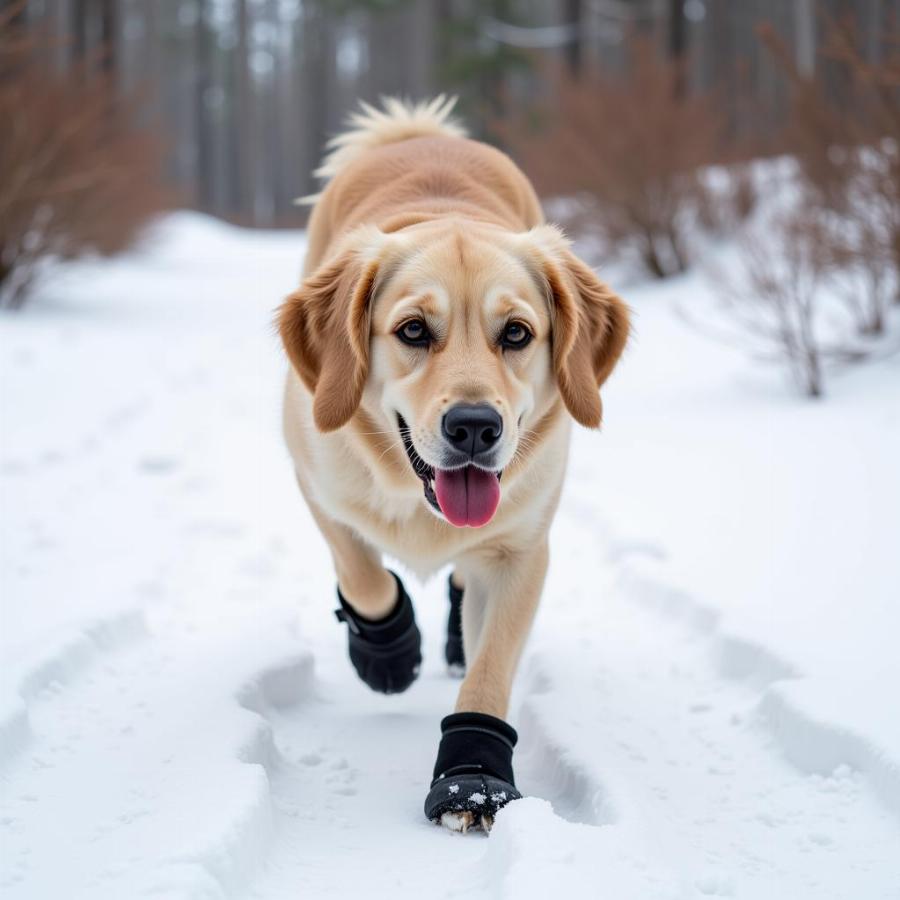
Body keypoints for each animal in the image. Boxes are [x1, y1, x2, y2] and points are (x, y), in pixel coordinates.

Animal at [278, 96, 628, 828]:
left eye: (516, 334)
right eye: (413, 330)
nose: (474, 427)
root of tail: (419, 133)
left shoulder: (522, 550)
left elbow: (491, 667)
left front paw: (473, 776)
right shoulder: (314, 476)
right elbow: (361, 572)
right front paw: (388, 651)